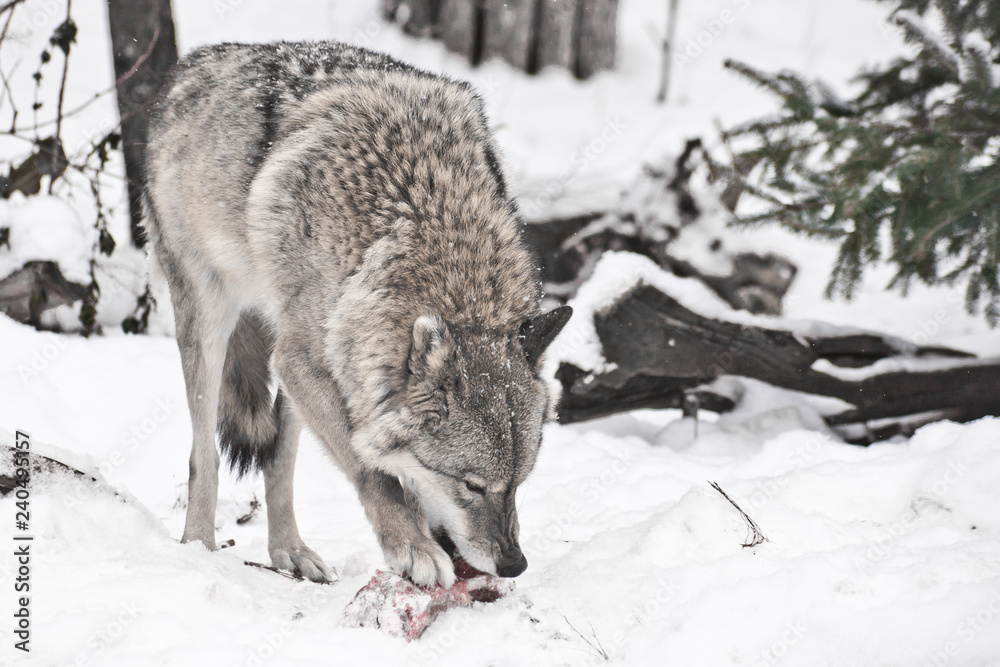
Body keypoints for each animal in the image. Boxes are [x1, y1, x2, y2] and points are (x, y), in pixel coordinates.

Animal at [144, 41, 571, 588]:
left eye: (517, 483)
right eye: (471, 485)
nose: (514, 565)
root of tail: (188, 64)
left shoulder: (330, 367)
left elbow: (389, 472)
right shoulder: (305, 362)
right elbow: (374, 471)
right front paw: (414, 548)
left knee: (278, 457)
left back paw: (290, 551)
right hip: (212, 321)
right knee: (205, 454)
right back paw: (198, 547)